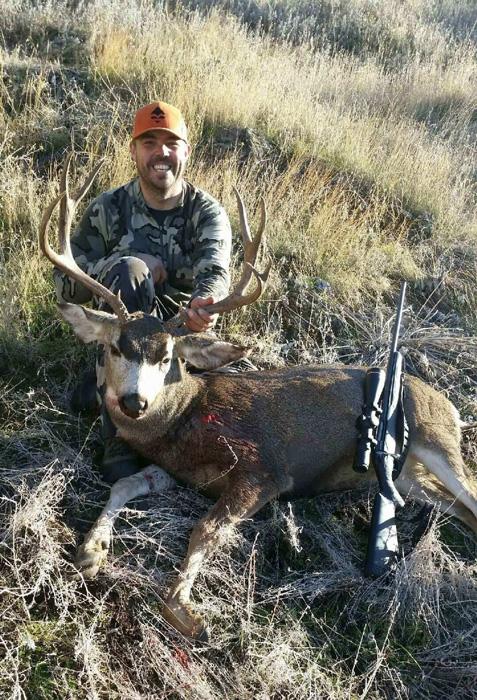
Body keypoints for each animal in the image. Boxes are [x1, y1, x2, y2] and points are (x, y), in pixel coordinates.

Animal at [40, 156, 477, 641]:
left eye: (168, 356)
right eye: (115, 348)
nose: (135, 402)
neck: (187, 417)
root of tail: (450, 404)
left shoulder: (263, 470)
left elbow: (205, 528)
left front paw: (185, 610)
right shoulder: (176, 469)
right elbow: (123, 484)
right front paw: (90, 551)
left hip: (437, 440)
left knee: (470, 492)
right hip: (411, 478)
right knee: (459, 508)